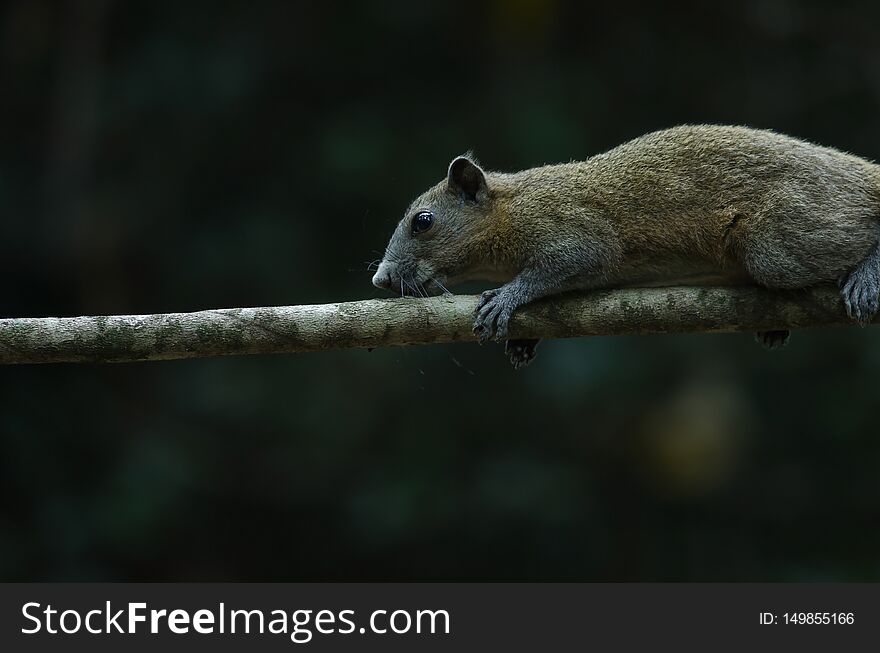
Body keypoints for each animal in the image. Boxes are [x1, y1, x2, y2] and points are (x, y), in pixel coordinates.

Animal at [370, 123, 880, 366]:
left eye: (422, 222)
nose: (381, 278)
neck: (512, 208)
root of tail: (863, 172)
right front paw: (522, 340)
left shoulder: (572, 228)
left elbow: (565, 263)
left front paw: (508, 298)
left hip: (781, 239)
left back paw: (867, 274)